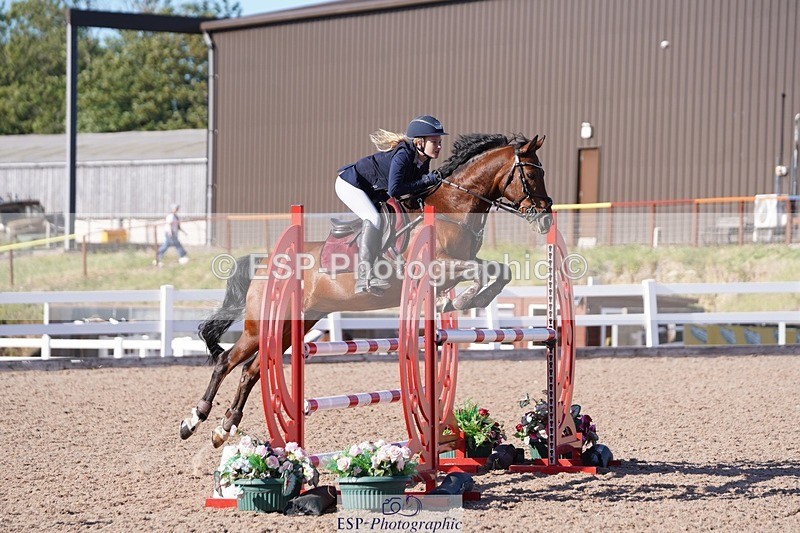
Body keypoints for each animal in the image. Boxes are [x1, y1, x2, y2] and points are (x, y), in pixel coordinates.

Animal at [180, 133, 552, 446]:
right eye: (532, 176)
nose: (547, 217)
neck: (452, 209)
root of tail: (264, 263)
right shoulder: (438, 265)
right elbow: (482, 271)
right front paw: (464, 299)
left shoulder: (457, 265)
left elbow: (498, 270)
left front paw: (463, 300)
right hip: (262, 326)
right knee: (226, 362)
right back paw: (194, 420)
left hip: (291, 326)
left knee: (251, 371)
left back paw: (224, 427)